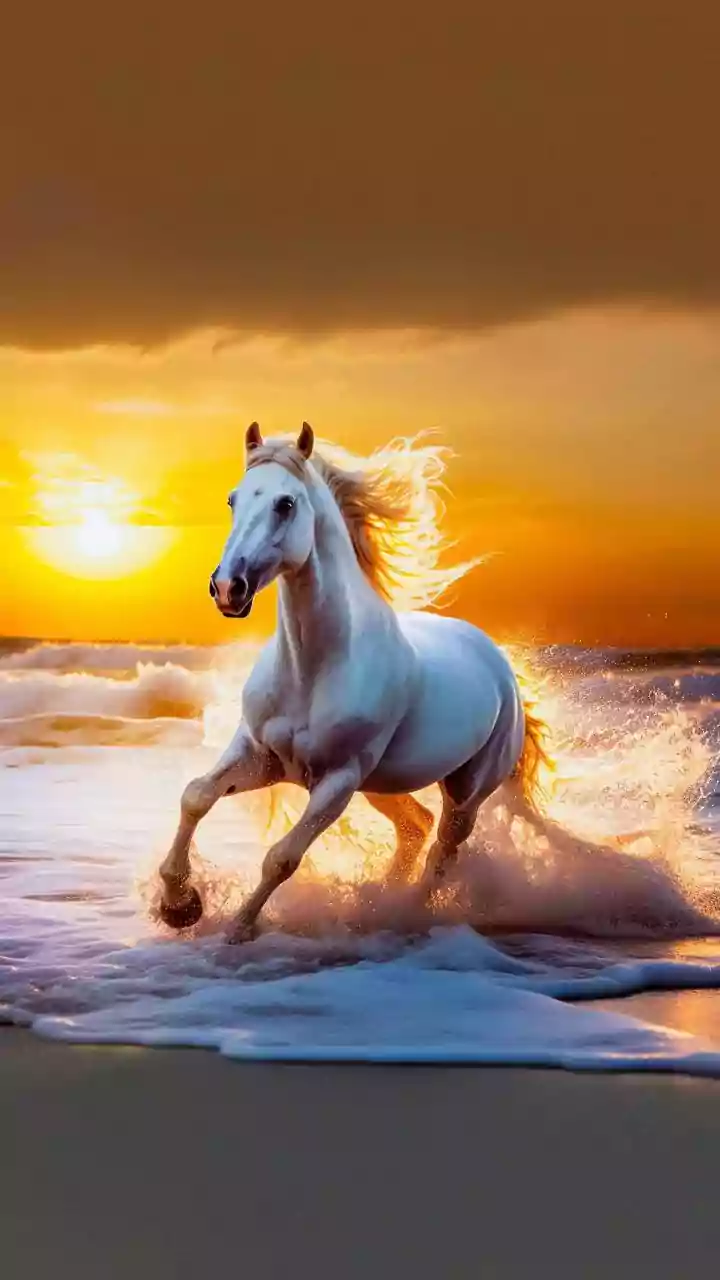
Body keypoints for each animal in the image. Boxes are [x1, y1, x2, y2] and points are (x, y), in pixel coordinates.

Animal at [158, 422, 547, 943]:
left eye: (286, 503)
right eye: (232, 499)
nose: (227, 588)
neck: (312, 669)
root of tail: (500, 665)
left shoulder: (338, 781)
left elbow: (282, 858)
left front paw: (237, 929)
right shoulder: (259, 755)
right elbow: (196, 796)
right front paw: (179, 906)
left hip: (465, 791)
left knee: (443, 850)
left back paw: (406, 916)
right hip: (382, 786)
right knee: (416, 827)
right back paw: (380, 902)